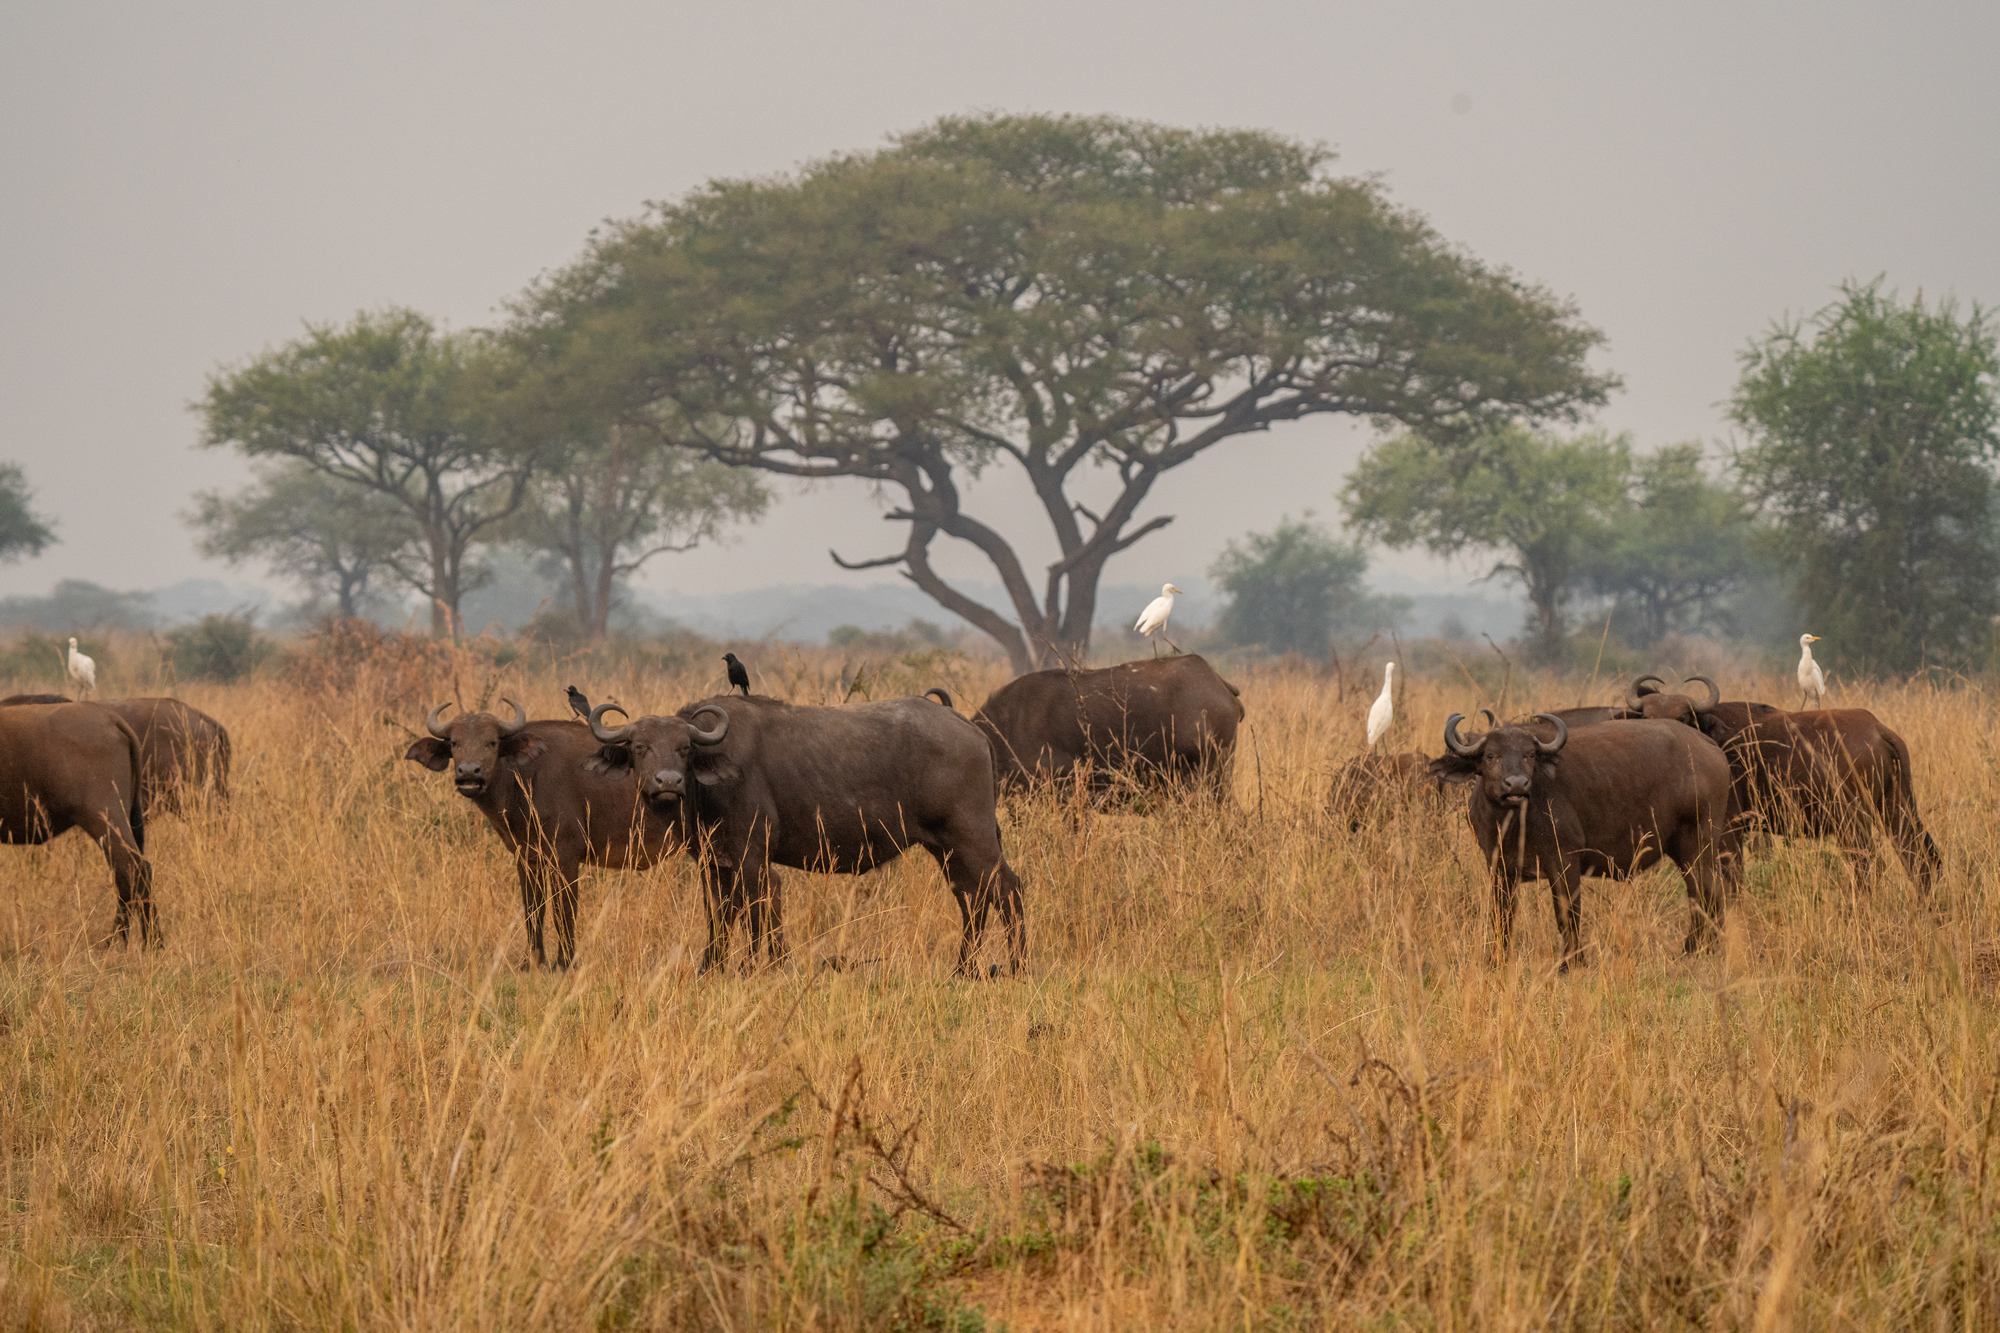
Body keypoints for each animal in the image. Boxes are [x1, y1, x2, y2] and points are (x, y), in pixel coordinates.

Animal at [404, 699, 680, 968]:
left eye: (492, 742)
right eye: (455, 742)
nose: (469, 772)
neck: (525, 777)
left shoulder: (565, 857)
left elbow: (564, 909)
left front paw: (566, 962)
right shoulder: (527, 857)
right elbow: (534, 908)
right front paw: (532, 962)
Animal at [587, 694, 1024, 976]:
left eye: (684, 748)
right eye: (639, 747)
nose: (668, 782)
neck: (707, 787)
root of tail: (970, 728)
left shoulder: (753, 859)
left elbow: (761, 908)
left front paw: (768, 966)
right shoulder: (713, 864)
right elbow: (721, 914)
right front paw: (712, 968)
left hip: (973, 840)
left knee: (1007, 889)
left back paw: (1017, 966)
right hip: (945, 849)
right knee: (972, 899)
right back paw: (964, 969)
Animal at [1431, 712, 1740, 969]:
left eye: (1529, 754)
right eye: (1490, 755)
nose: (1516, 784)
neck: (1514, 823)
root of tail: (1709, 747)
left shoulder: (1565, 862)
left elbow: (1567, 914)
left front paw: (1571, 963)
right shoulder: (1498, 868)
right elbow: (1502, 916)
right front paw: (1496, 961)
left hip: (1697, 844)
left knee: (1707, 892)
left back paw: (1698, 950)